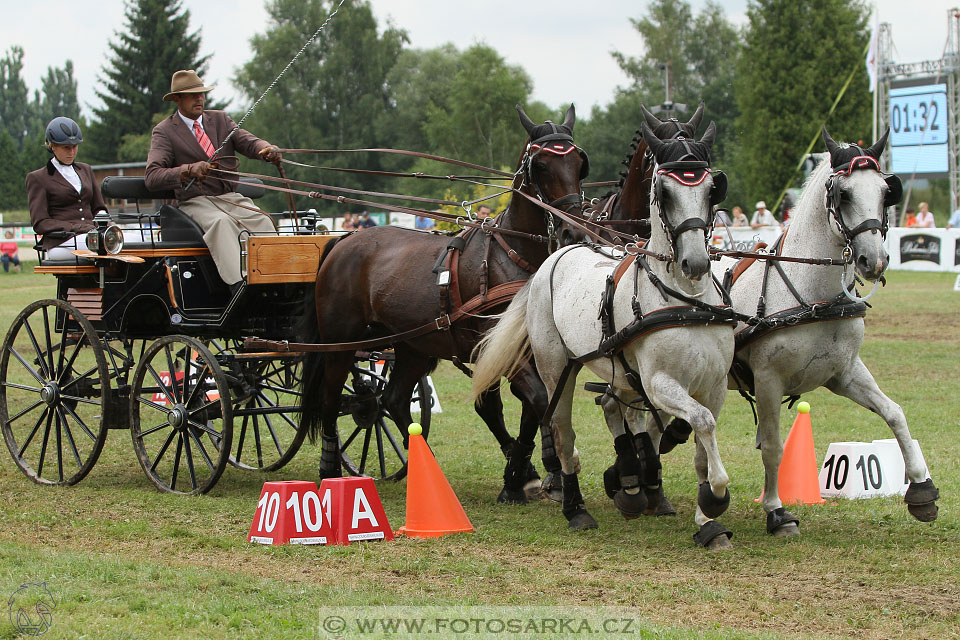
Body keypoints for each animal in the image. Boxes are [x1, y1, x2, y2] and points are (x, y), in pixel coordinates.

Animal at [300, 105, 588, 498]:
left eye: (578, 163)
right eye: (540, 165)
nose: (572, 230)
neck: (512, 254)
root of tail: (344, 240)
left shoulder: (524, 347)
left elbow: (529, 409)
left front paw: (518, 475)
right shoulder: (498, 348)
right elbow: (535, 402)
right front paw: (529, 471)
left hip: (412, 345)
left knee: (393, 400)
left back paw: (428, 468)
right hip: (341, 343)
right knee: (331, 400)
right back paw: (330, 469)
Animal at [470, 121, 736, 552]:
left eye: (713, 188)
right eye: (663, 191)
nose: (694, 262)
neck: (686, 299)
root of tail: (553, 257)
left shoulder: (713, 385)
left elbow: (700, 434)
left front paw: (707, 518)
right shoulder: (659, 383)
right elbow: (702, 422)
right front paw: (715, 494)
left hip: (617, 371)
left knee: (615, 411)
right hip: (555, 370)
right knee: (562, 432)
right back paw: (575, 507)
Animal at [716, 126, 940, 536]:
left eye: (885, 192)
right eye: (844, 194)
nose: (874, 260)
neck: (813, 296)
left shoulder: (843, 372)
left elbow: (895, 413)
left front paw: (922, 488)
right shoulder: (768, 379)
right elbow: (773, 446)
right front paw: (776, 511)